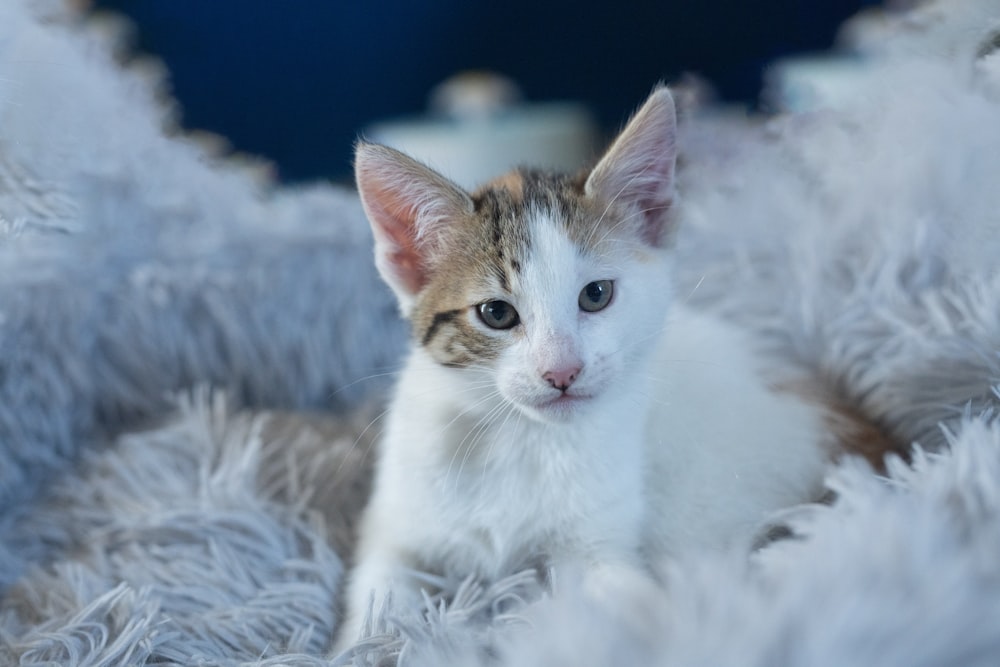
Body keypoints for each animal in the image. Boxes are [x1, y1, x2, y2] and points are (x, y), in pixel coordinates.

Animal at [342, 86, 852, 644]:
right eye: (496, 313)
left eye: (596, 295)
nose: (561, 372)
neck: (518, 436)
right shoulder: (395, 524)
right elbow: (378, 599)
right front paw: (363, 643)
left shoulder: (602, 544)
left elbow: (628, 607)